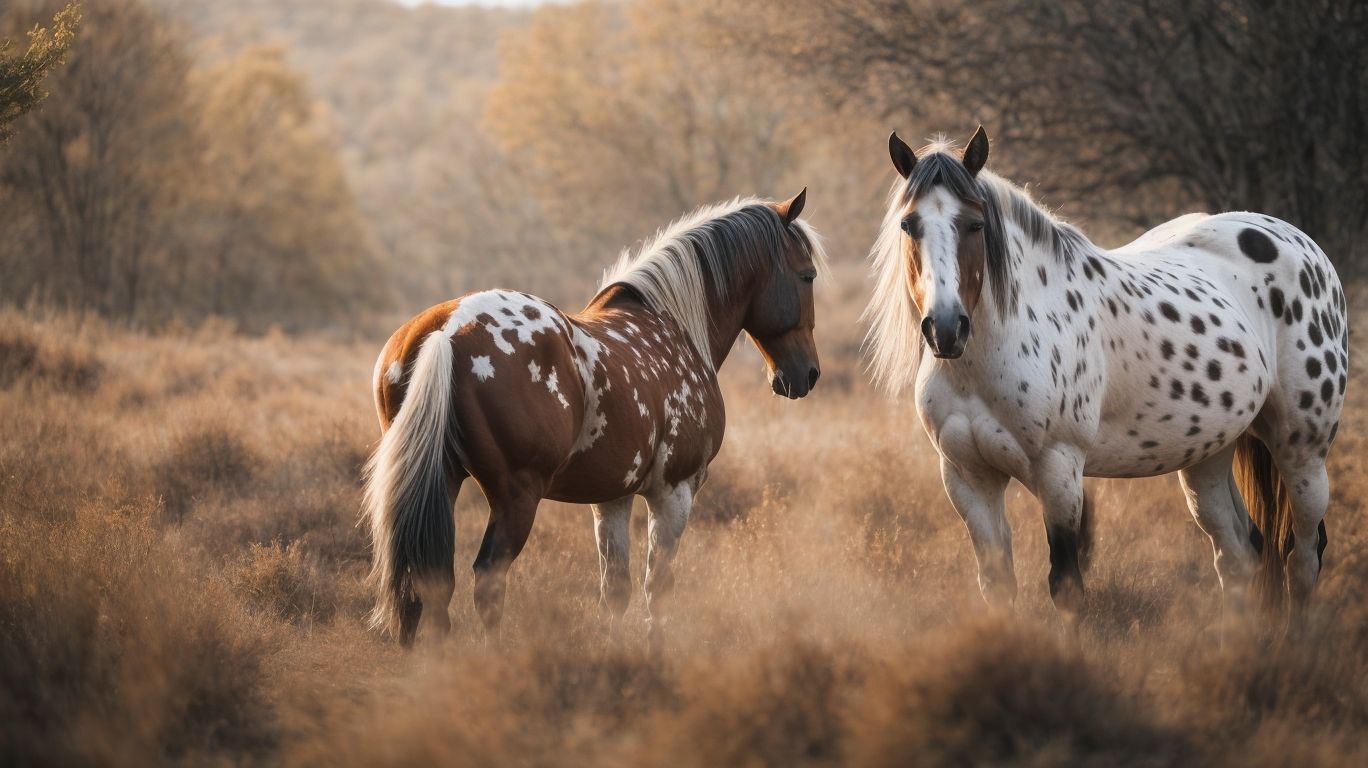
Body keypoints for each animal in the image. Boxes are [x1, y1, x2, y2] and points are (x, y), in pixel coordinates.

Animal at [364, 190, 827, 645]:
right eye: (807, 276)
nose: (806, 375)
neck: (676, 326)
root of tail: (448, 329)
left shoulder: (612, 498)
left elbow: (615, 591)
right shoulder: (674, 491)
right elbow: (657, 590)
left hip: (441, 481)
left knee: (432, 585)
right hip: (516, 496)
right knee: (488, 583)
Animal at [865, 127, 1347, 631]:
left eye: (975, 225)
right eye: (909, 226)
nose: (945, 328)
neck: (981, 362)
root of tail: (1298, 241)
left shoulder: (1059, 471)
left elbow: (1066, 588)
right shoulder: (967, 477)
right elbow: (996, 587)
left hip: (1302, 451)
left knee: (1304, 557)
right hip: (1209, 454)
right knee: (1238, 553)